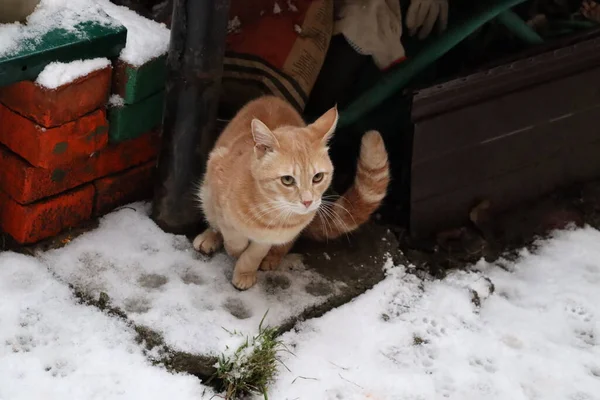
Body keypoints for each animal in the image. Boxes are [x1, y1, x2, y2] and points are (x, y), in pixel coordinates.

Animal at [192, 97, 390, 290]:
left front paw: (245, 272)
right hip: (206, 191)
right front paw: (234, 248)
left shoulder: (271, 236)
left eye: (317, 177)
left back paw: (272, 257)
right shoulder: (216, 178)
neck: (270, 212)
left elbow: (254, 253)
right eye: (287, 180)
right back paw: (209, 237)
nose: (308, 201)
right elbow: (231, 234)